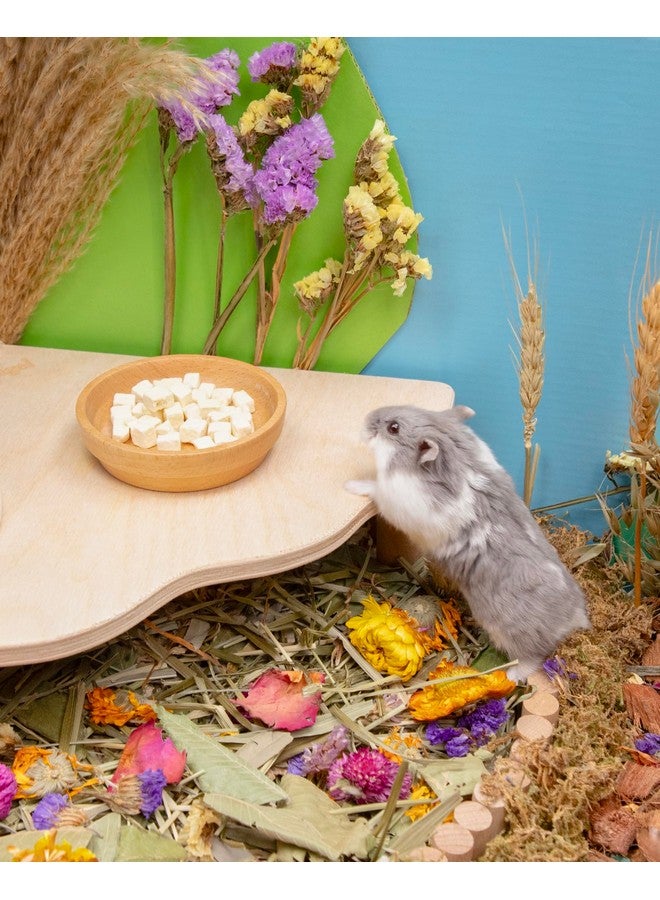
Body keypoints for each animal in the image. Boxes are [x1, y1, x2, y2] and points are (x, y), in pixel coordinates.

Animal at [345, 404, 590, 682]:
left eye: (393, 428)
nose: (366, 418)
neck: (456, 456)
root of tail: (573, 618)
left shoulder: (397, 501)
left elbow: (374, 488)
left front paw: (350, 485)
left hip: (515, 634)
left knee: (533, 658)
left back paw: (510, 676)